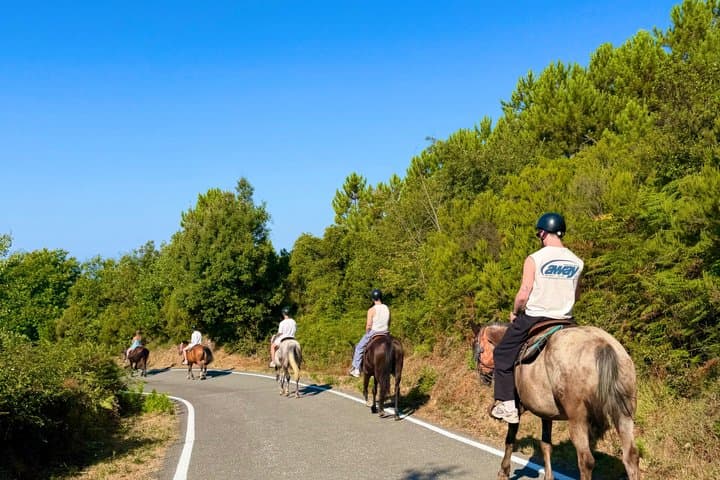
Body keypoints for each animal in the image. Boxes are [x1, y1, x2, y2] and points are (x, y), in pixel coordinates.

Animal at [472, 322, 639, 480]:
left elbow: (510, 439)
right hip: (624, 414)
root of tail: (601, 343)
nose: (483, 377)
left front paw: (504, 471)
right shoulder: (546, 414)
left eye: (475, 347)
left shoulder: (517, 408)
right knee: (631, 457)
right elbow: (546, 445)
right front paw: (548, 476)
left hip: (578, 419)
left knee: (586, 460)